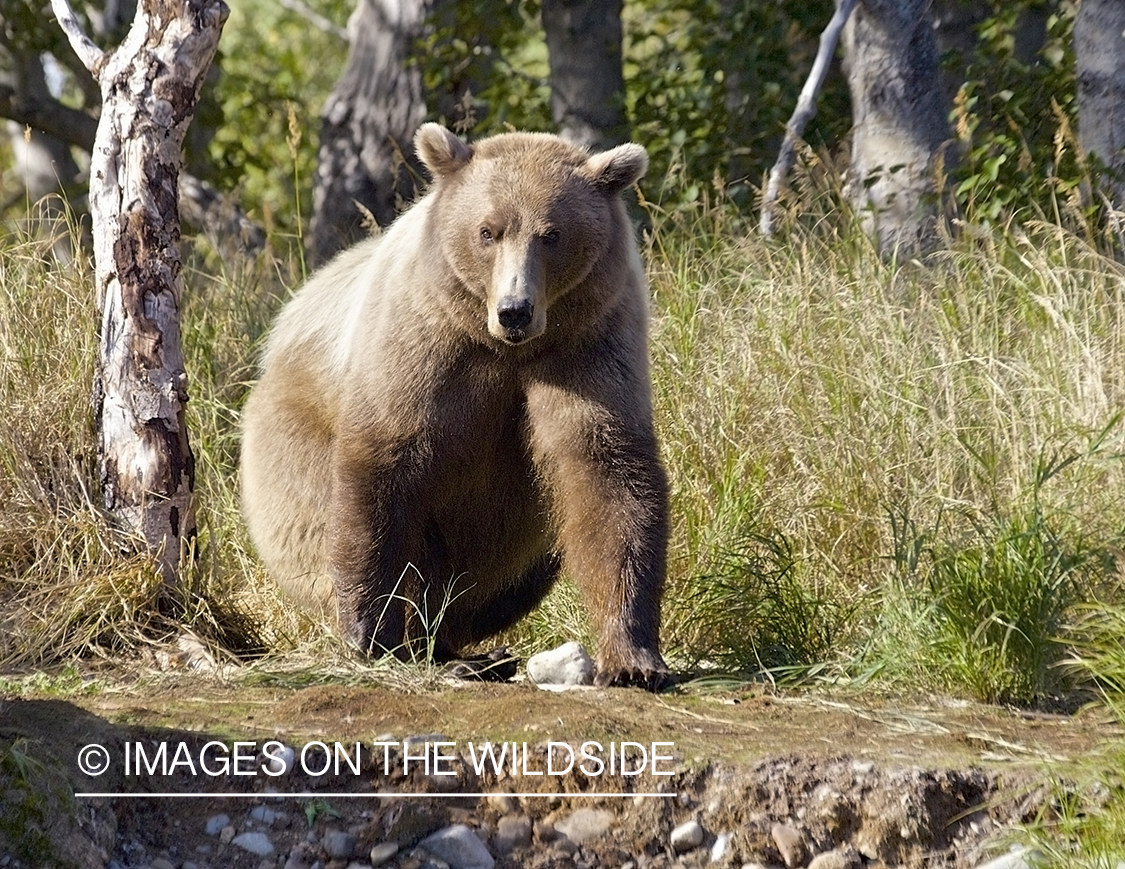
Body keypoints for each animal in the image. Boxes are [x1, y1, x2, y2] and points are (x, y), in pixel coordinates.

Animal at [240, 123, 669, 689]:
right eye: (488, 231)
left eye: (552, 234)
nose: (515, 310)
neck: (504, 349)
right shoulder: (424, 345)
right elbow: (385, 463)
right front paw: (371, 631)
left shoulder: (586, 346)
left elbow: (607, 472)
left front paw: (633, 658)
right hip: (291, 437)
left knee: (512, 572)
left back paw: (469, 651)